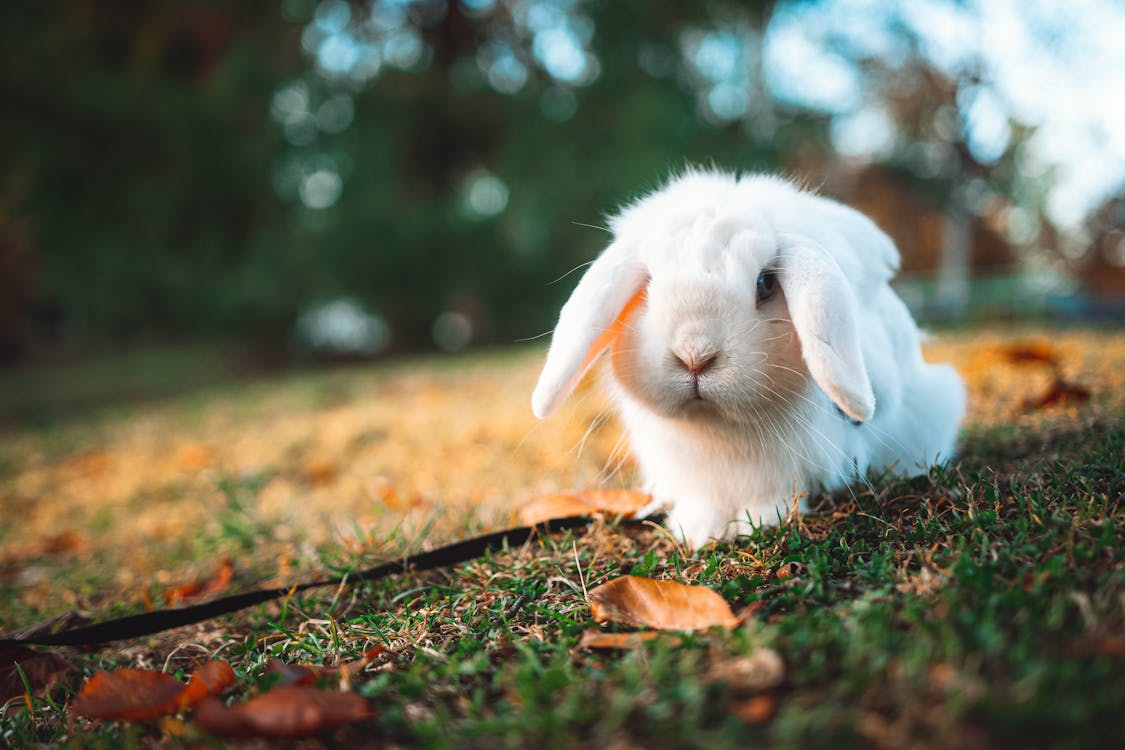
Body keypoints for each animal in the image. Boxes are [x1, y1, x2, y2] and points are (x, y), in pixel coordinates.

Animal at [531, 169, 966, 548]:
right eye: (648, 285)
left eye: (765, 283)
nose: (694, 354)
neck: (719, 431)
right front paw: (698, 531)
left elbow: (774, 495)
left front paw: (758, 523)